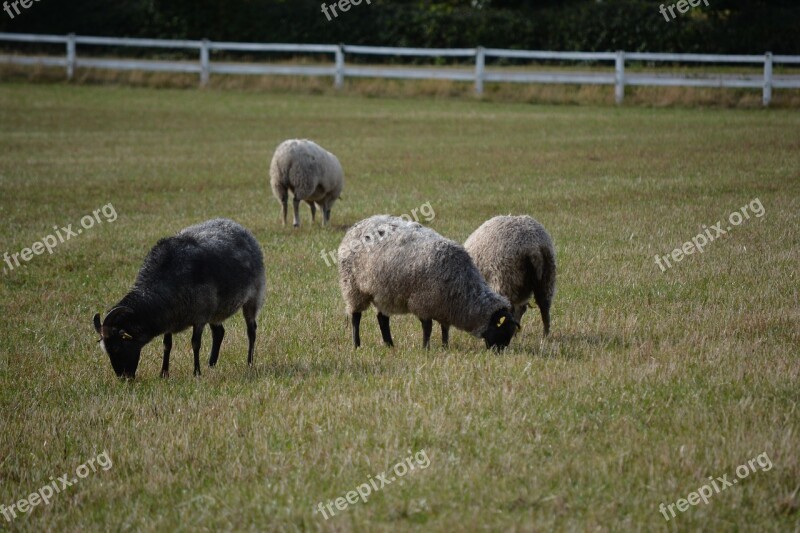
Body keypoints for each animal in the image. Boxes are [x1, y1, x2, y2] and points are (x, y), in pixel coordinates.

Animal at [90, 217, 266, 378]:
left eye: (116, 347)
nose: (123, 378)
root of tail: (238, 227)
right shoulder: (170, 318)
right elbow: (167, 345)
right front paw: (163, 373)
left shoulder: (199, 317)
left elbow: (195, 343)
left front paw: (196, 372)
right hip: (215, 311)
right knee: (219, 332)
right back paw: (211, 364)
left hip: (253, 297)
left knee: (251, 330)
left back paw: (249, 362)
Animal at [336, 215, 520, 350]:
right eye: (502, 330)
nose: (499, 352)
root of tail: (358, 225)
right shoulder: (424, 302)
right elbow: (428, 327)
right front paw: (426, 348)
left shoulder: (444, 308)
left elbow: (445, 328)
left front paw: (445, 346)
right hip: (353, 286)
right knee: (356, 316)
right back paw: (356, 345)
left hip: (383, 292)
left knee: (382, 318)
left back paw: (390, 345)